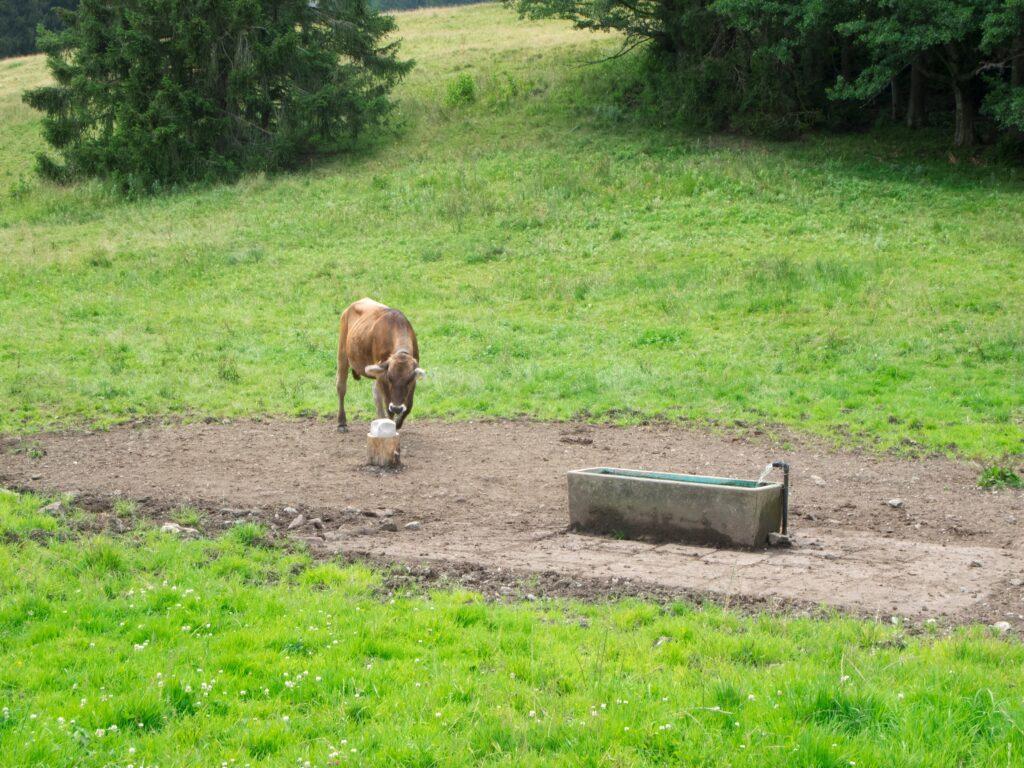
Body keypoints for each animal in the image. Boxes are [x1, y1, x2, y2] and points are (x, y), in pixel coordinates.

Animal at [335, 299, 423, 434]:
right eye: (389, 378)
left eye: (408, 381)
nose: (397, 408)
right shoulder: (382, 376)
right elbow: (388, 406)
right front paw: (391, 426)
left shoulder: (413, 380)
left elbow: (409, 405)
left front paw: (397, 423)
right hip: (343, 353)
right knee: (341, 387)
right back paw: (341, 423)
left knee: (376, 393)